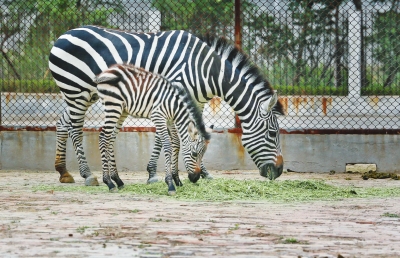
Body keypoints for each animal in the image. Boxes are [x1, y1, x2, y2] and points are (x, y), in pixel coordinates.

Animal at [92, 63, 211, 195]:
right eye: (194, 154)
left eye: (203, 154)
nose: (195, 178)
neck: (173, 105)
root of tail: (107, 71)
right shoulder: (158, 116)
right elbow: (167, 145)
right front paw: (170, 183)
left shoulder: (170, 120)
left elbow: (176, 143)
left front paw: (177, 180)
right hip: (113, 106)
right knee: (103, 138)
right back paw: (109, 182)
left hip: (122, 111)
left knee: (110, 139)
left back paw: (118, 181)